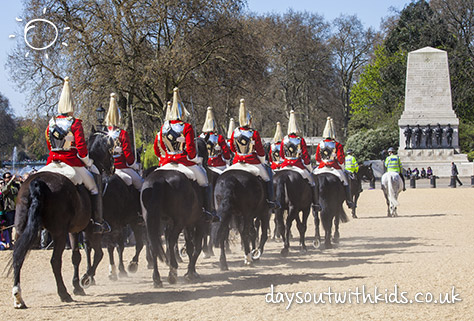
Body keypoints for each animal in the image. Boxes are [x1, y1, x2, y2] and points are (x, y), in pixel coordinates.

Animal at [10, 130, 114, 308]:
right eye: (110, 149)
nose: (113, 168)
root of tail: (37, 182)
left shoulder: (73, 230)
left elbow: (76, 257)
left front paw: (77, 285)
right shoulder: (89, 230)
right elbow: (99, 254)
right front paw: (85, 279)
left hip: (21, 230)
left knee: (18, 256)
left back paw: (18, 297)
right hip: (58, 233)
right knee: (55, 261)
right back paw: (63, 293)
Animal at [140, 136, 208, 286]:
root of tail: (159, 180)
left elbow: (190, 247)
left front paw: (190, 271)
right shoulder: (197, 222)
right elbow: (195, 247)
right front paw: (191, 272)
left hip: (152, 221)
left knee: (153, 244)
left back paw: (157, 278)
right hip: (179, 222)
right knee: (171, 240)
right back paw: (172, 272)